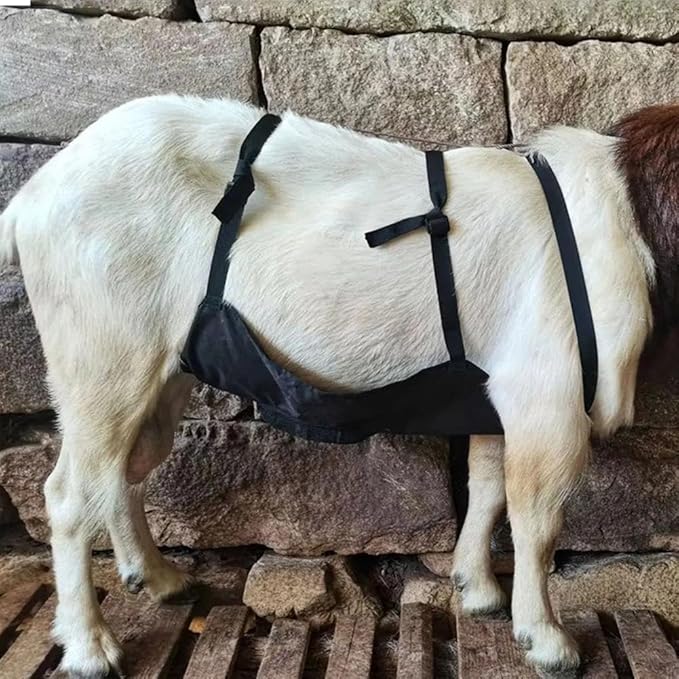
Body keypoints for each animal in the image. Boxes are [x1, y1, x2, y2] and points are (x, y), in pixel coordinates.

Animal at [2, 95, 675, 677]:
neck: (616, 212)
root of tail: (32, 197)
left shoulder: (495, 393)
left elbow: (486, 488)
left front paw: (475, 588)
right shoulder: (549, 396)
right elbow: (538, 522)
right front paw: (547, 640)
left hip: (159, 370)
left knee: (125, 470)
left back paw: (159, 579)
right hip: (102, 353)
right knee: (68, 494)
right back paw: (89, 647)